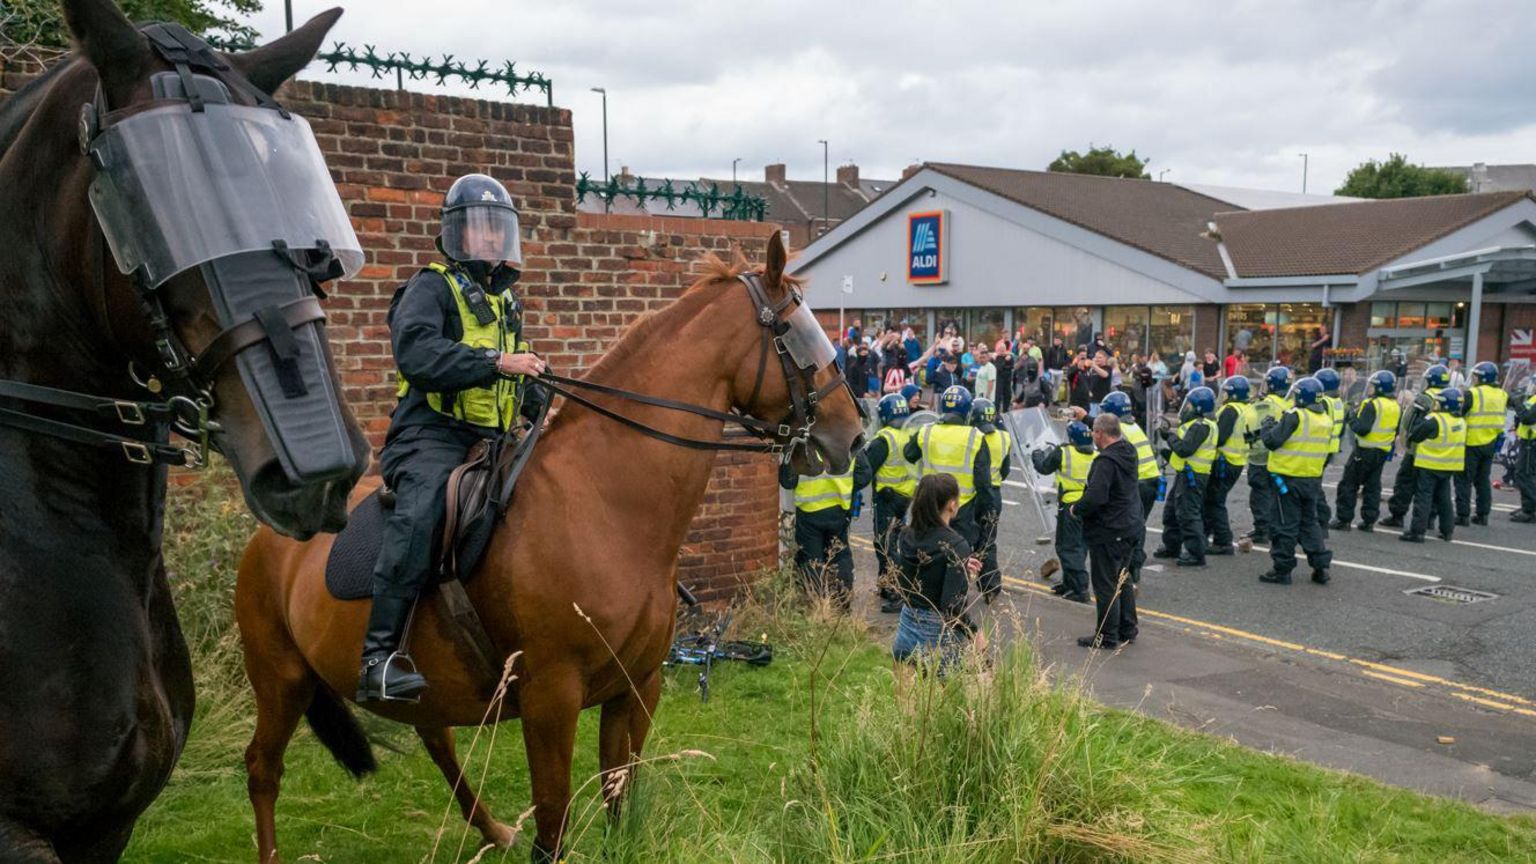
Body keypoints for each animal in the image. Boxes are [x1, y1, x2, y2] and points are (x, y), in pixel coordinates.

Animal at [236, 232, 866, 854]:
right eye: (795, 331)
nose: (854, 435)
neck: (604, 504)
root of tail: (271, 537)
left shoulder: (637, 689)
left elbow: (617, 798)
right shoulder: (550, 700)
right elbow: (554, 823)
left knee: (437, 742)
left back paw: (492, 830)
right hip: (281, 680)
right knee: (262, 768)